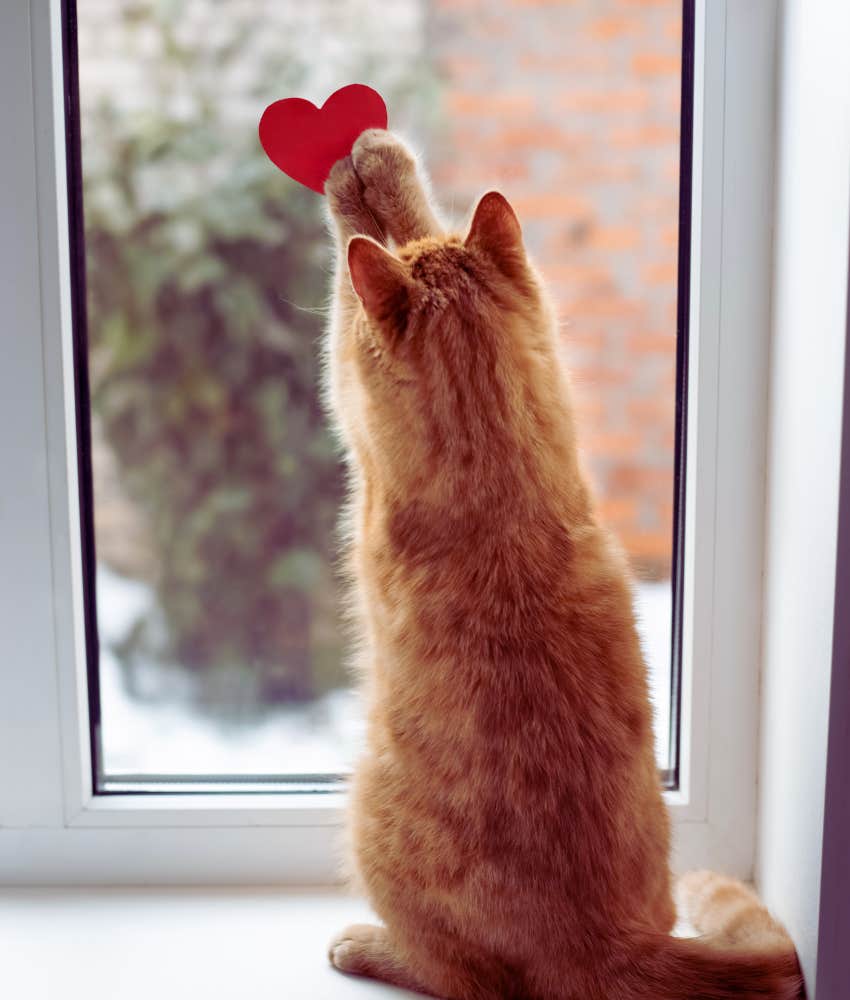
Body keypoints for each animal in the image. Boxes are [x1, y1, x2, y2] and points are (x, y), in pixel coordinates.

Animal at [320, 133, 800, 1000]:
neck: (496, 446)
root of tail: (610, 944)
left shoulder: (348, 388)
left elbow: (358, 274)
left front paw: (372, 174)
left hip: (366, 810)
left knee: (459, 974)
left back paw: (366, 945)